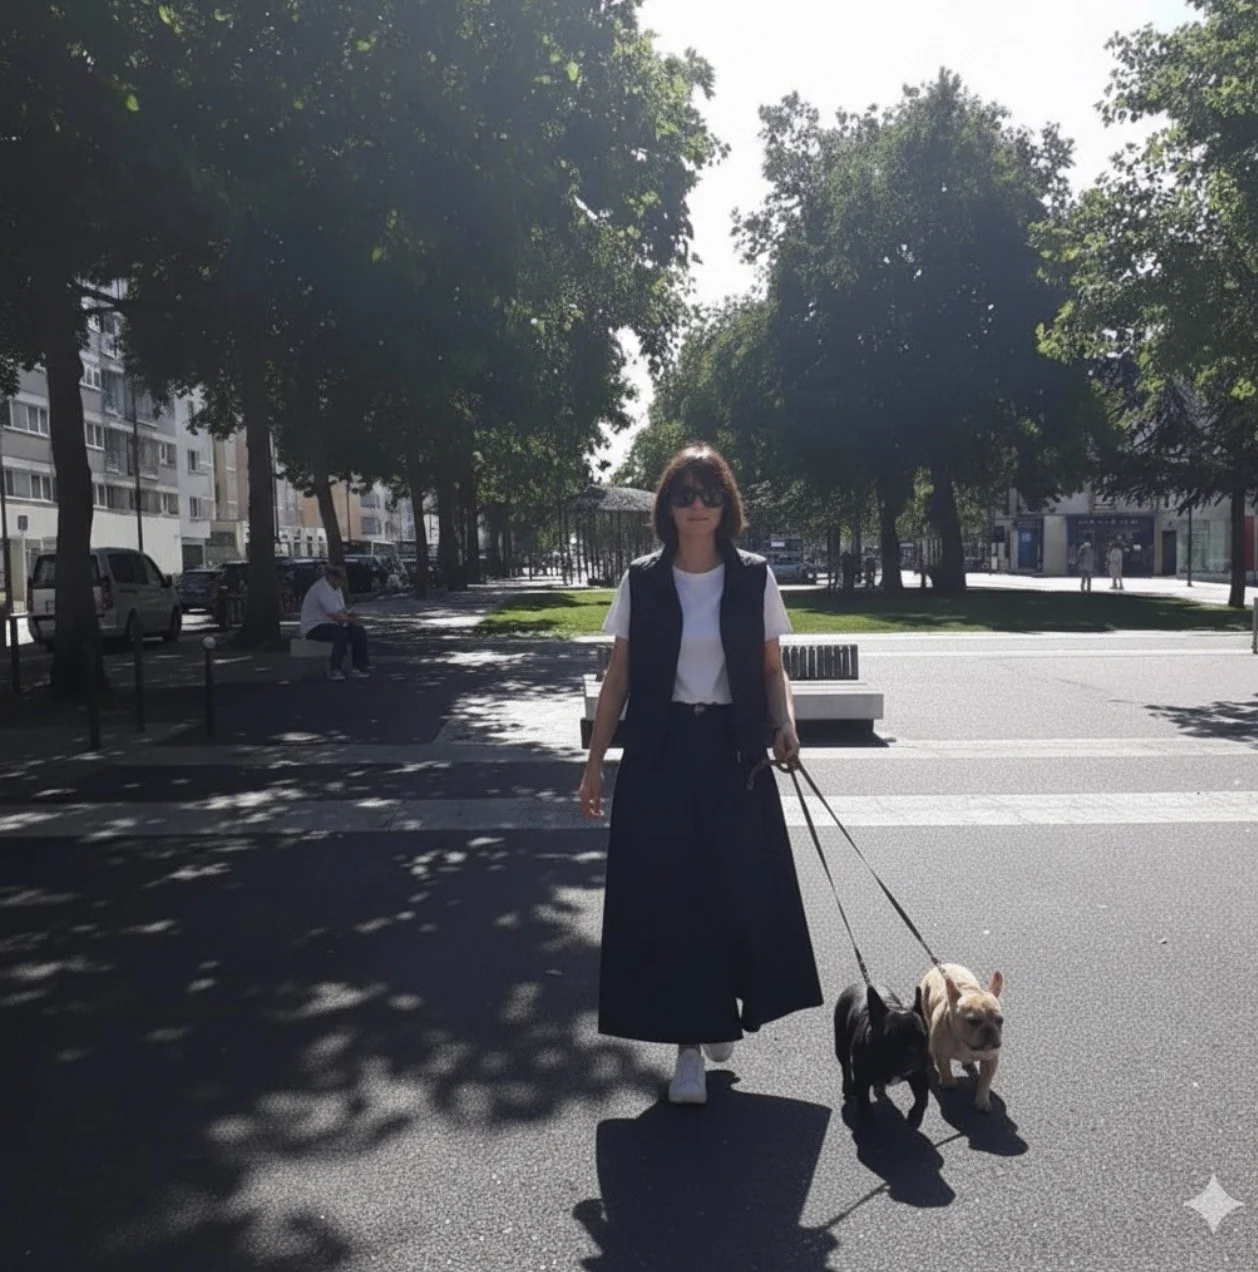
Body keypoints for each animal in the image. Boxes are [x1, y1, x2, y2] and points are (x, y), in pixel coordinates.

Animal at [834, 982, 931, 1128]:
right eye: (893, 1039)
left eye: (923, 1037)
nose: (912, 1050)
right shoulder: (862, 1080)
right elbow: (864, 1102)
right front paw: (867, 1120)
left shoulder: (919, 1074)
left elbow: (922, 1096)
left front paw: (915, 1116)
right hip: (841, 1044)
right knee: (845, 1065)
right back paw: (848, 1087)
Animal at [919, 963, 1004, 1112]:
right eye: (973, 1021)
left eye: (1000, 1020)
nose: (989, 1029)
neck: (965, 1044)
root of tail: (944, 965)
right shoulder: (941, 1053)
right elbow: (945, 1068)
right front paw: (948, 1083)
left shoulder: (990, 1059)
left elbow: (985, 1082)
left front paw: (982, 1101)